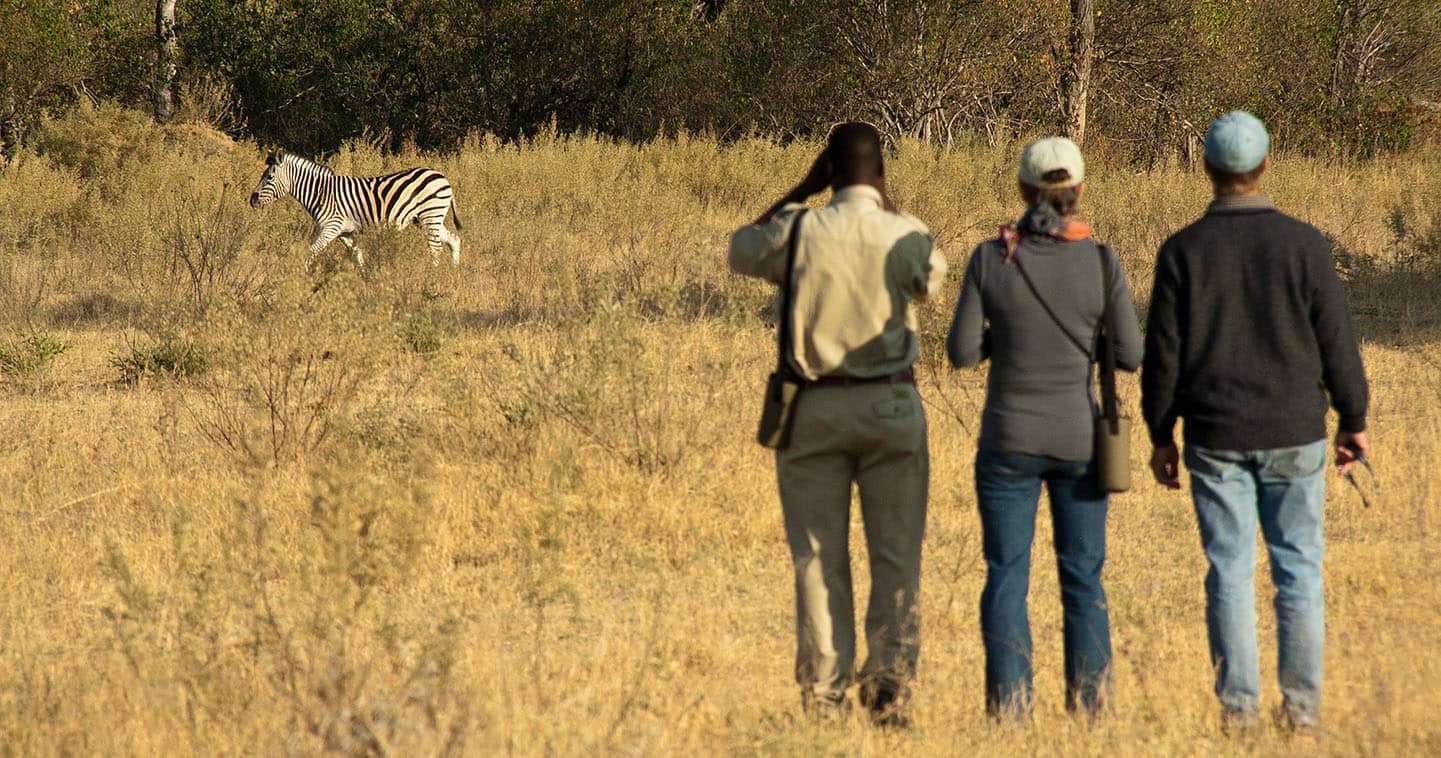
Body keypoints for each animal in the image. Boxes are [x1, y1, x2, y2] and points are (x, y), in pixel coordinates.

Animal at [247, 150, 461, 270]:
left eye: (269, 177)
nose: (252, 200)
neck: (321, 193)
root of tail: (442, 177)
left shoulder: (331, 227)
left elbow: (311, 252)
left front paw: (301, 275)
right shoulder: (345, 233)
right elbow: (358, 256)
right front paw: (367, 281)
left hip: (430, 215)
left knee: (435, 248)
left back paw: (432, 277)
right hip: (426, 219)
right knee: (454, 240)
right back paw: (454, 273)